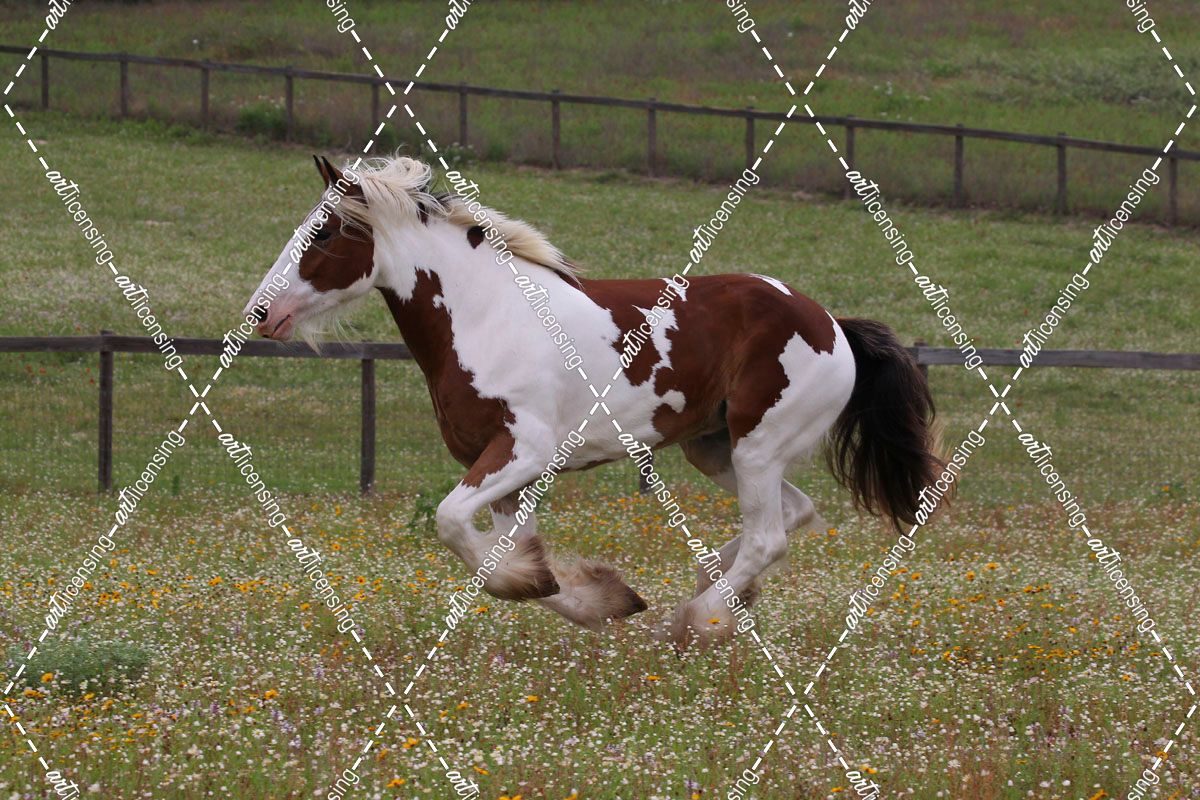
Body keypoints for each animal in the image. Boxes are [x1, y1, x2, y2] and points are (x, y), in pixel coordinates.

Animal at [242, 155, 943, 650]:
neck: (485, 314)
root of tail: (832, 324)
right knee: (791, 516)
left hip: (759, 446)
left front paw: (562, 587)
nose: (261, 313)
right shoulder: (501, 470)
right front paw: (600, 597)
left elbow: (453, 525)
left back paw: (696, 619)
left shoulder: (524, 450)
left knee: (769, 537)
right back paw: (716, 590)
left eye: (324, 233)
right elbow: (506, 555)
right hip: (715, 449)